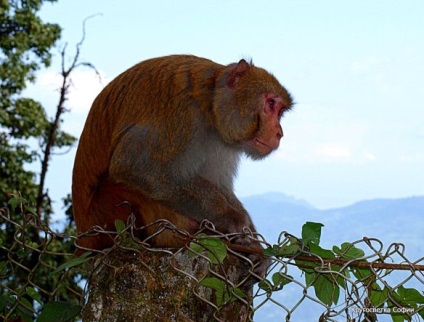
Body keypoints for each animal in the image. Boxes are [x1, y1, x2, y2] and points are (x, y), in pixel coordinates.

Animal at [71, 54, 294, 280]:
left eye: (280, 111)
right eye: (270, 103)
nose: (279, 133)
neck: (210, 101)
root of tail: (85, 240)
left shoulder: (220, 140)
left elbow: (218, 184)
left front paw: (254, 246)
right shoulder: (181, 115)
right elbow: (132, 166)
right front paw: (230, 218)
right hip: (108, 214)